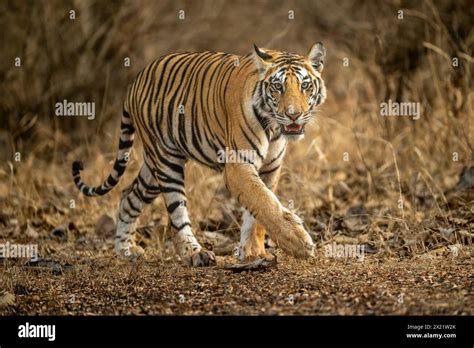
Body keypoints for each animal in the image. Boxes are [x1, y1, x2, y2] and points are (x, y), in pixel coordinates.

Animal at [73, 42, 326, 266]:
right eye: (278, 87)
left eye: (304, 86)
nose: (293, 114)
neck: (274, 128)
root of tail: (137, 79)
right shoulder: (238, 166)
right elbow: (264, 203)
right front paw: (298, 242)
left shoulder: (270, 169)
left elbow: (258, 215)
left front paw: (253, 253)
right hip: (166, 162)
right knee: (176, 214)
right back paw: (194, 253)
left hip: (152, 171)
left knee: (128, 195)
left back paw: (125, 249)